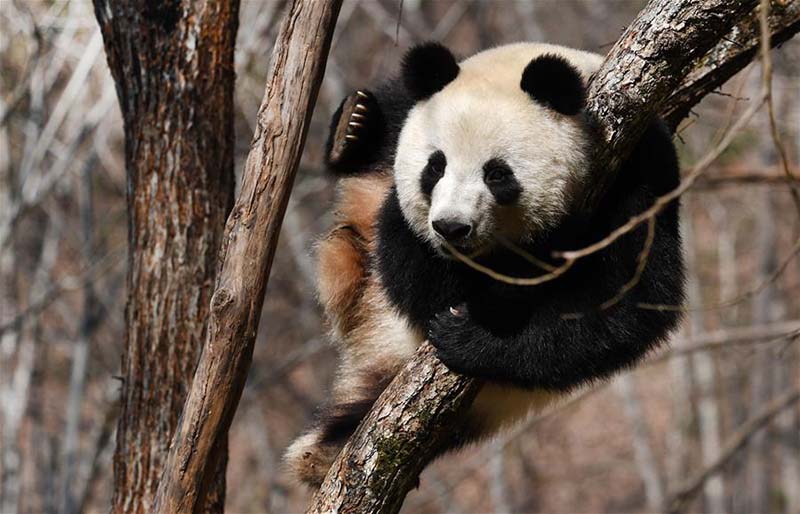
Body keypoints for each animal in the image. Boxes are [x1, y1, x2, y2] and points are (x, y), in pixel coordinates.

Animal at [284, 42, 684, 486]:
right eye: (435, 165)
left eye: (497, 174)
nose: (451, 227)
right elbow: (411, 267)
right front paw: (353, 126)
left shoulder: (640, 173)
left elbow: (626, 301)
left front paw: (470, 336)